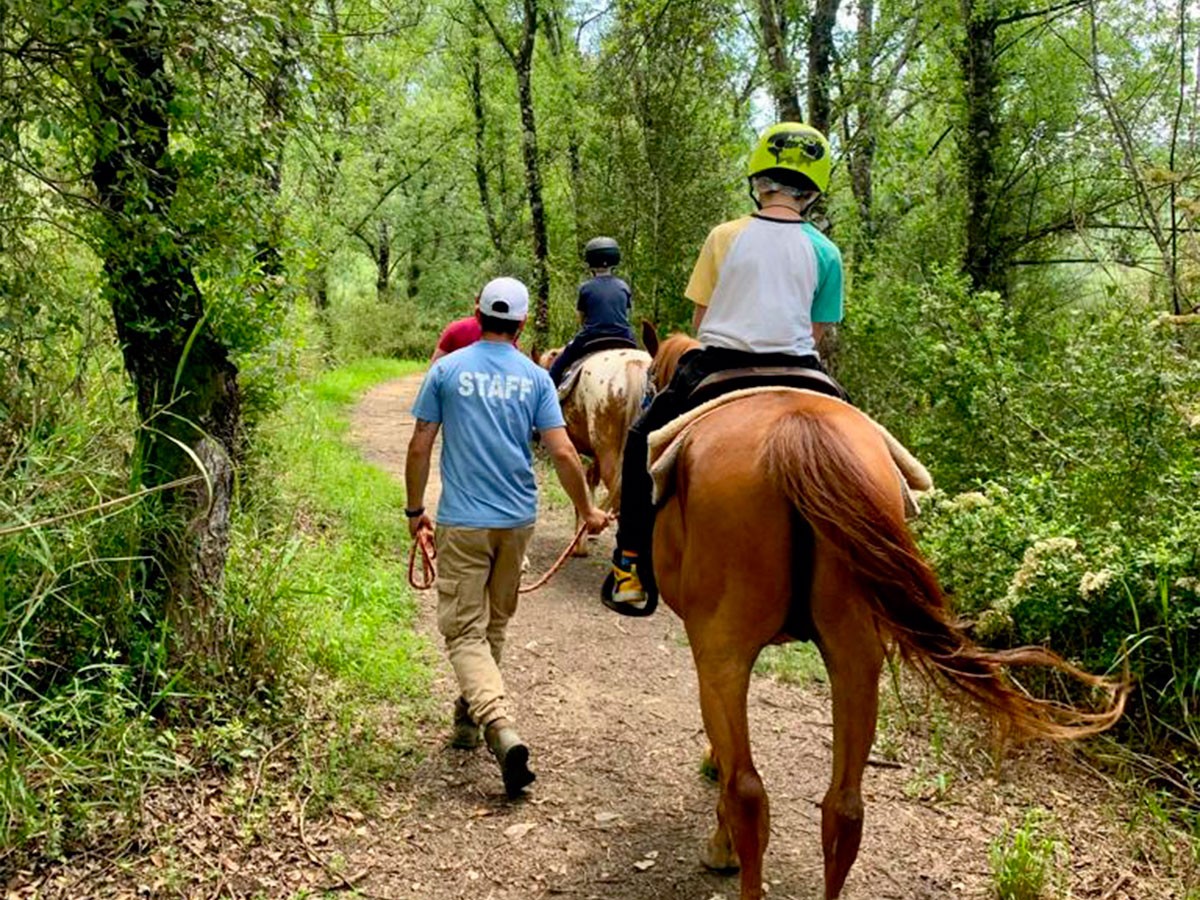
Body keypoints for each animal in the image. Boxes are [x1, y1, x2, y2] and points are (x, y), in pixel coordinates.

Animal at [643, 331, 1128, 900]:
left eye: (650, 378)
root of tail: (794, 433)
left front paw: (718, 826)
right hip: (855, 657)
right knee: (846, 807)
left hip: (726, 650)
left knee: (748, 791)